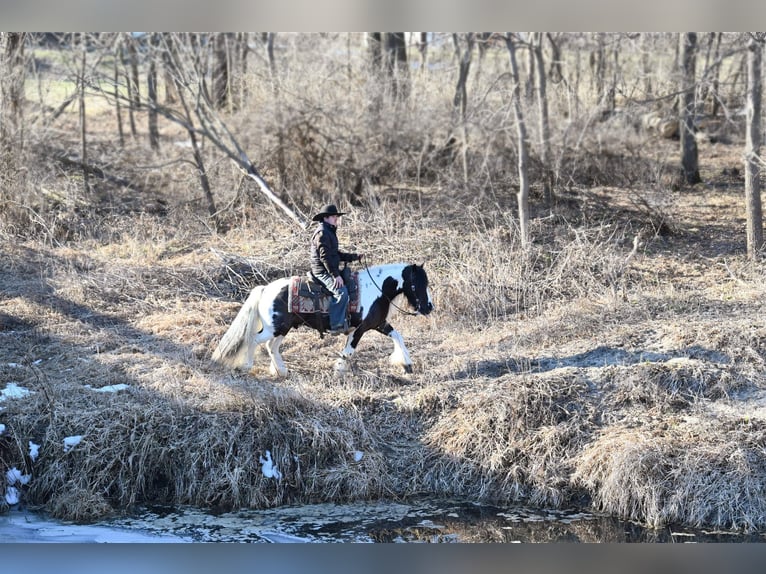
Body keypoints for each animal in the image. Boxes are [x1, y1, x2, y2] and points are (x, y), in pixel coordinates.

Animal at [213, 264, 436, 378]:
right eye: (417, 284)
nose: (429, 307)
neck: (376, 290)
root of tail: (265, 289)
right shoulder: (360, 329)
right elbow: (349, 351)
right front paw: (338, 370)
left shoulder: (378, 324)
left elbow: (398, 336)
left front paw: (406, 364)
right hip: (273, 328)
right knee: (254, 340)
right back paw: (247, 366)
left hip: (282, 328)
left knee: (271, 346)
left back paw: (282, 371)